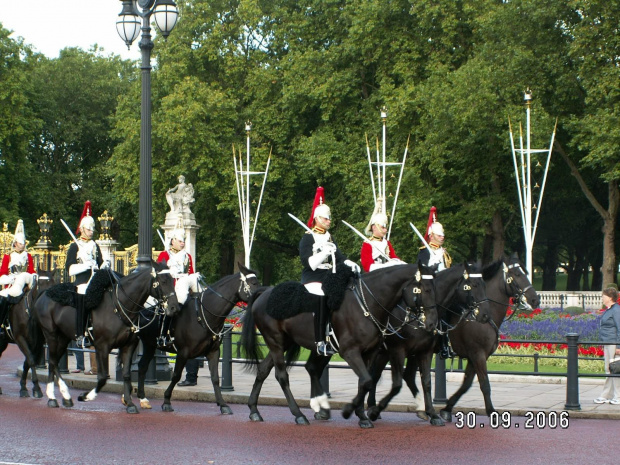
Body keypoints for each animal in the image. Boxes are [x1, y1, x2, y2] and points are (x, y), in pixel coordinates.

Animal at [34, 260, 179, 414]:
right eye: (163, 281)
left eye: (173, 280)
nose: (175, 307)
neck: (119, 306)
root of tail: (44, 293)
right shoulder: (102, 346)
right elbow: (103, 377)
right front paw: (86, 396)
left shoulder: (128, 345)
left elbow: (126, 374)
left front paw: (129, 403)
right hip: (51, 335)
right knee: (53, 361)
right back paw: (57, 396)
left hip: (63, 338)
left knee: (53, 362)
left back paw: (61, 397)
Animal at [133, 262, 262, 412]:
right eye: (253, 283)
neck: (203, 315)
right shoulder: (183, 352)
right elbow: (176, 376)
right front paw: (166, 401)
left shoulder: (213, 352)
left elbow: (215, 378)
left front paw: (223, 404)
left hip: (149, 345)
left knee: (142, 366)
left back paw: (142, 398)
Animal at [240, 262, 438, 426]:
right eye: (422, 289)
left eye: (433, 288)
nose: (431, 324)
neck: (367, 304)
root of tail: (266, 291)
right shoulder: (351, 352)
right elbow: (367, 381)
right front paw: (351, 411)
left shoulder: (371, 352)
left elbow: (365, 382)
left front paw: (362, 415)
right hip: (275, 341)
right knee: (282, 376)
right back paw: (299, 414)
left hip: (284, 342)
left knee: (264, 370)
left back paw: (255, 410)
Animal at [366, 260, 492, 424]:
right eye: (473, 285)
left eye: (484, 284)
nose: (485, 315)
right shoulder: (398, 350)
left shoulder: (424, 350)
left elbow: (426, 381)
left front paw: (433, 413)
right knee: (374, 375)